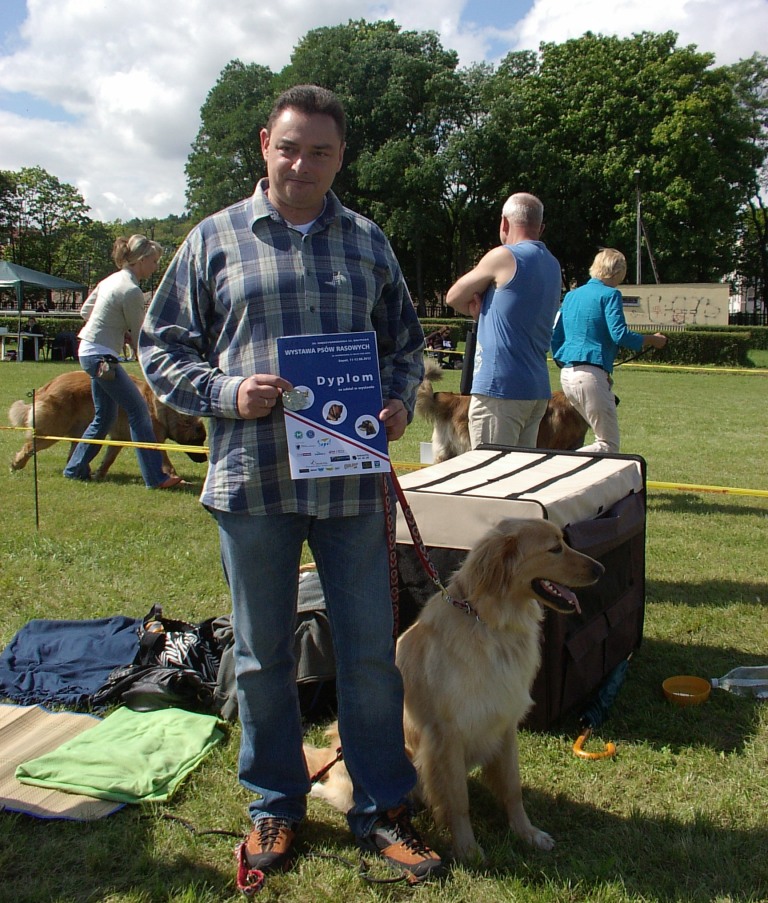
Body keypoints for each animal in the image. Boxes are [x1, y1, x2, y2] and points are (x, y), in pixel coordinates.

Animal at [9, 370, 207, 480]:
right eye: (199, 440)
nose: (205, 459)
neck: (164, 411)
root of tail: (47, 386)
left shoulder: (118, 439)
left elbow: (108, 459)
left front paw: (99, 474)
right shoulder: (153, 440)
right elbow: (166, 462)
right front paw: (175, 478)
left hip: (82, 430)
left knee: (74, 452)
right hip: (53, 430)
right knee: (29, 446)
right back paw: (17, 464)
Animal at [306, 516, 608, 860]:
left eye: (563, 541)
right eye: (554, 548)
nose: (601, 569)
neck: (493, 625)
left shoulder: (504, 723)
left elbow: (512, 789)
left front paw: (527, 833)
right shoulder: (446, 736)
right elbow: (458, 801)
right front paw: (467, 849)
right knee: (338, 794)